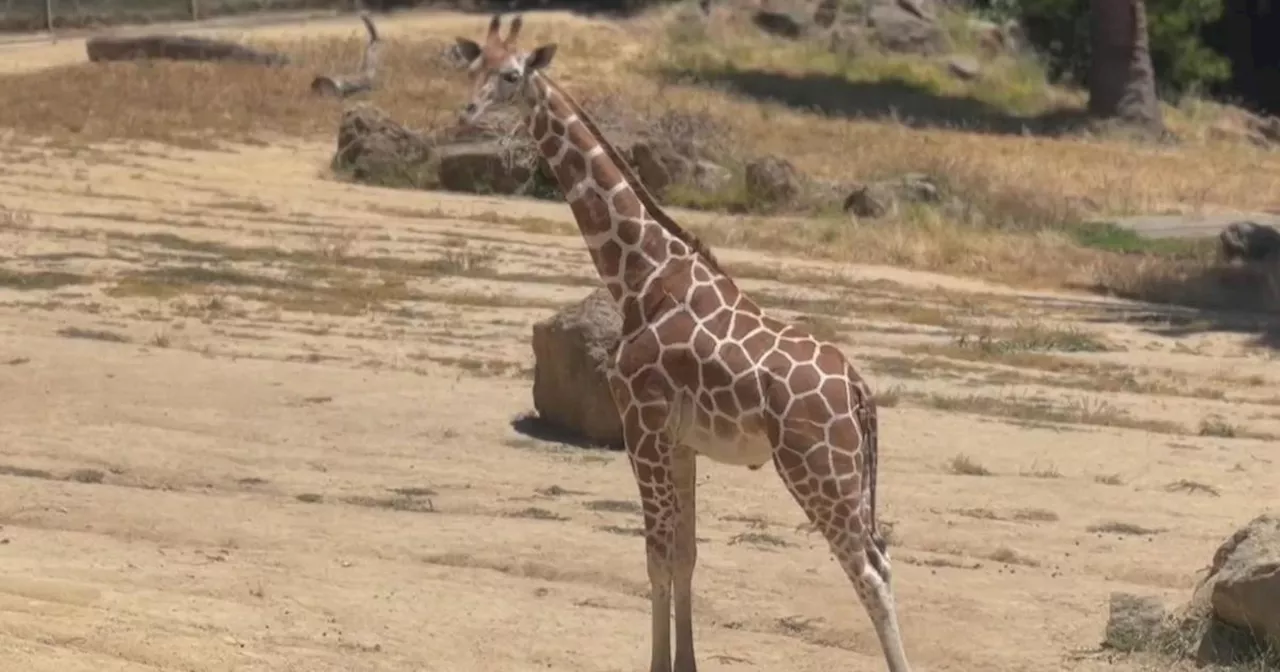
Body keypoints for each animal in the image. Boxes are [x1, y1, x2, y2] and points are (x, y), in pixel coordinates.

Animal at [450, 15, 911, 670]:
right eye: (472, 66)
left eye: (512, 74)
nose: (469, 110)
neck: (641, 276)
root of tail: (858, 391)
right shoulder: (681, 439)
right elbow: (687, 554)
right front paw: (686, 661)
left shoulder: (639, 423)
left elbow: (656, 555)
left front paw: (657, 663)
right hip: (843, 473)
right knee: (883, 554)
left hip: (817, 467)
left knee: (869, 569)